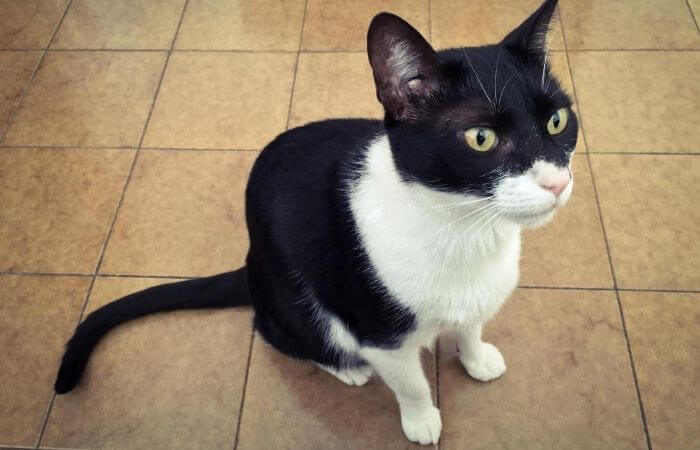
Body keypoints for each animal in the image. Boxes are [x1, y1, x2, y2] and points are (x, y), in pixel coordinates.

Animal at [54, 0, 576, 442]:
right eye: (480, 138)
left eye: (557, 120)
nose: (556, 182)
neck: (464, 228)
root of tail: (251, 264)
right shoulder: (377, 332)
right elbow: (408, 380)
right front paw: (422, 419)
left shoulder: (477, 294)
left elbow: (470, 325)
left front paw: (477, 358)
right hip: (300, 301)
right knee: (275, 330)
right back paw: (347, 368)